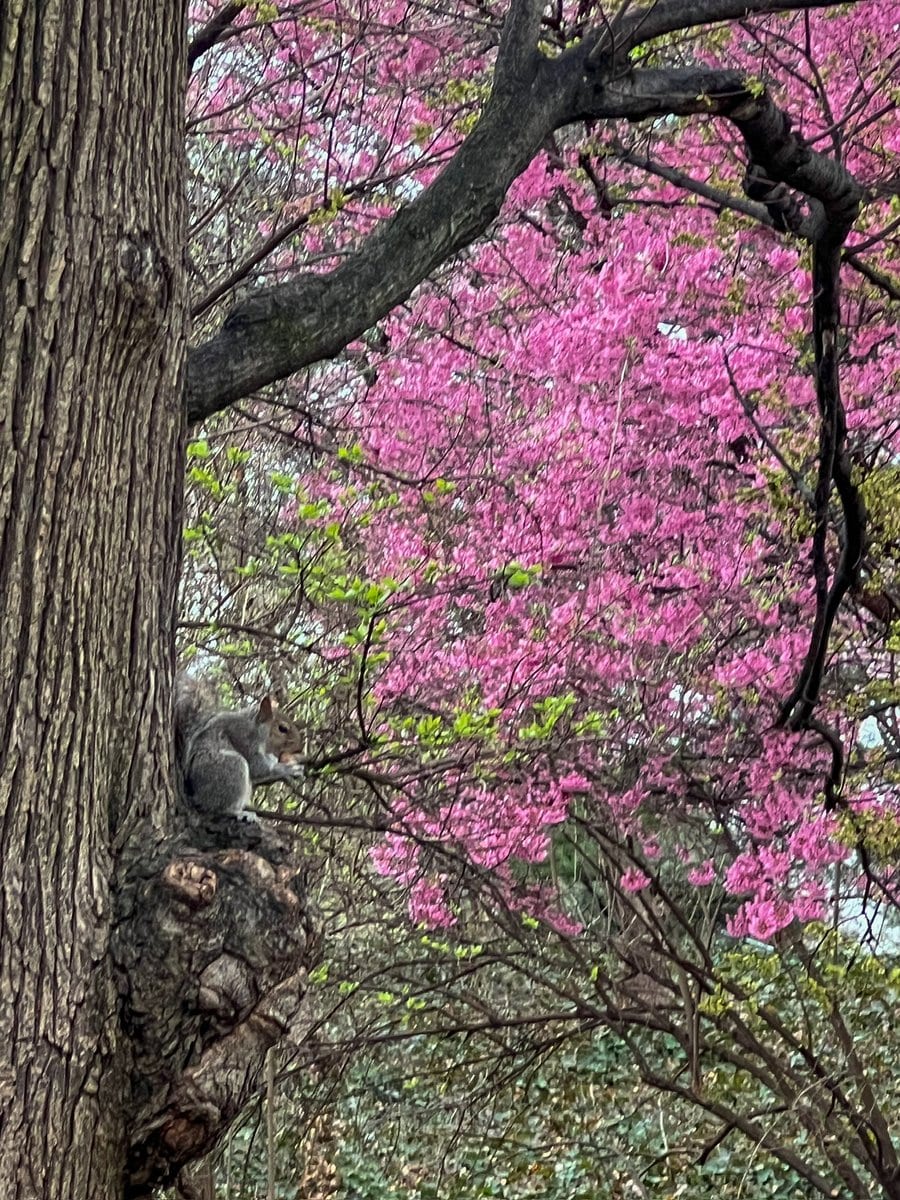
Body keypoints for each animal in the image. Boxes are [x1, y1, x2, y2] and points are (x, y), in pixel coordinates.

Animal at [175, 674, 305, 819]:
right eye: (282, 728)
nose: (300, 747)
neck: (257, 729)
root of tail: (196, 796)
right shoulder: (242, 737)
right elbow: (258, 768)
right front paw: (291, 769)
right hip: (230, 769)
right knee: (218, 808)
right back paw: (241, 813)